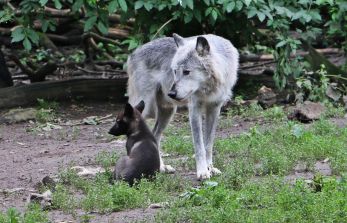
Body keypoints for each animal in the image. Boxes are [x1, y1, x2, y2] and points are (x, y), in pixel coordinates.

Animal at [127, 33, 239, 179]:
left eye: (186, 72)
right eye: (175, 71)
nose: (171, 93)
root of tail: (133, 54)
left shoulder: (214, 109)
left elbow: (208, 145)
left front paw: (210, 168)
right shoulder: (194, 110)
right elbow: (199, 146)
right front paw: (202, 171)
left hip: (168, 112)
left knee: (155, 136)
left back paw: (161, 167)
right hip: (144, 108)